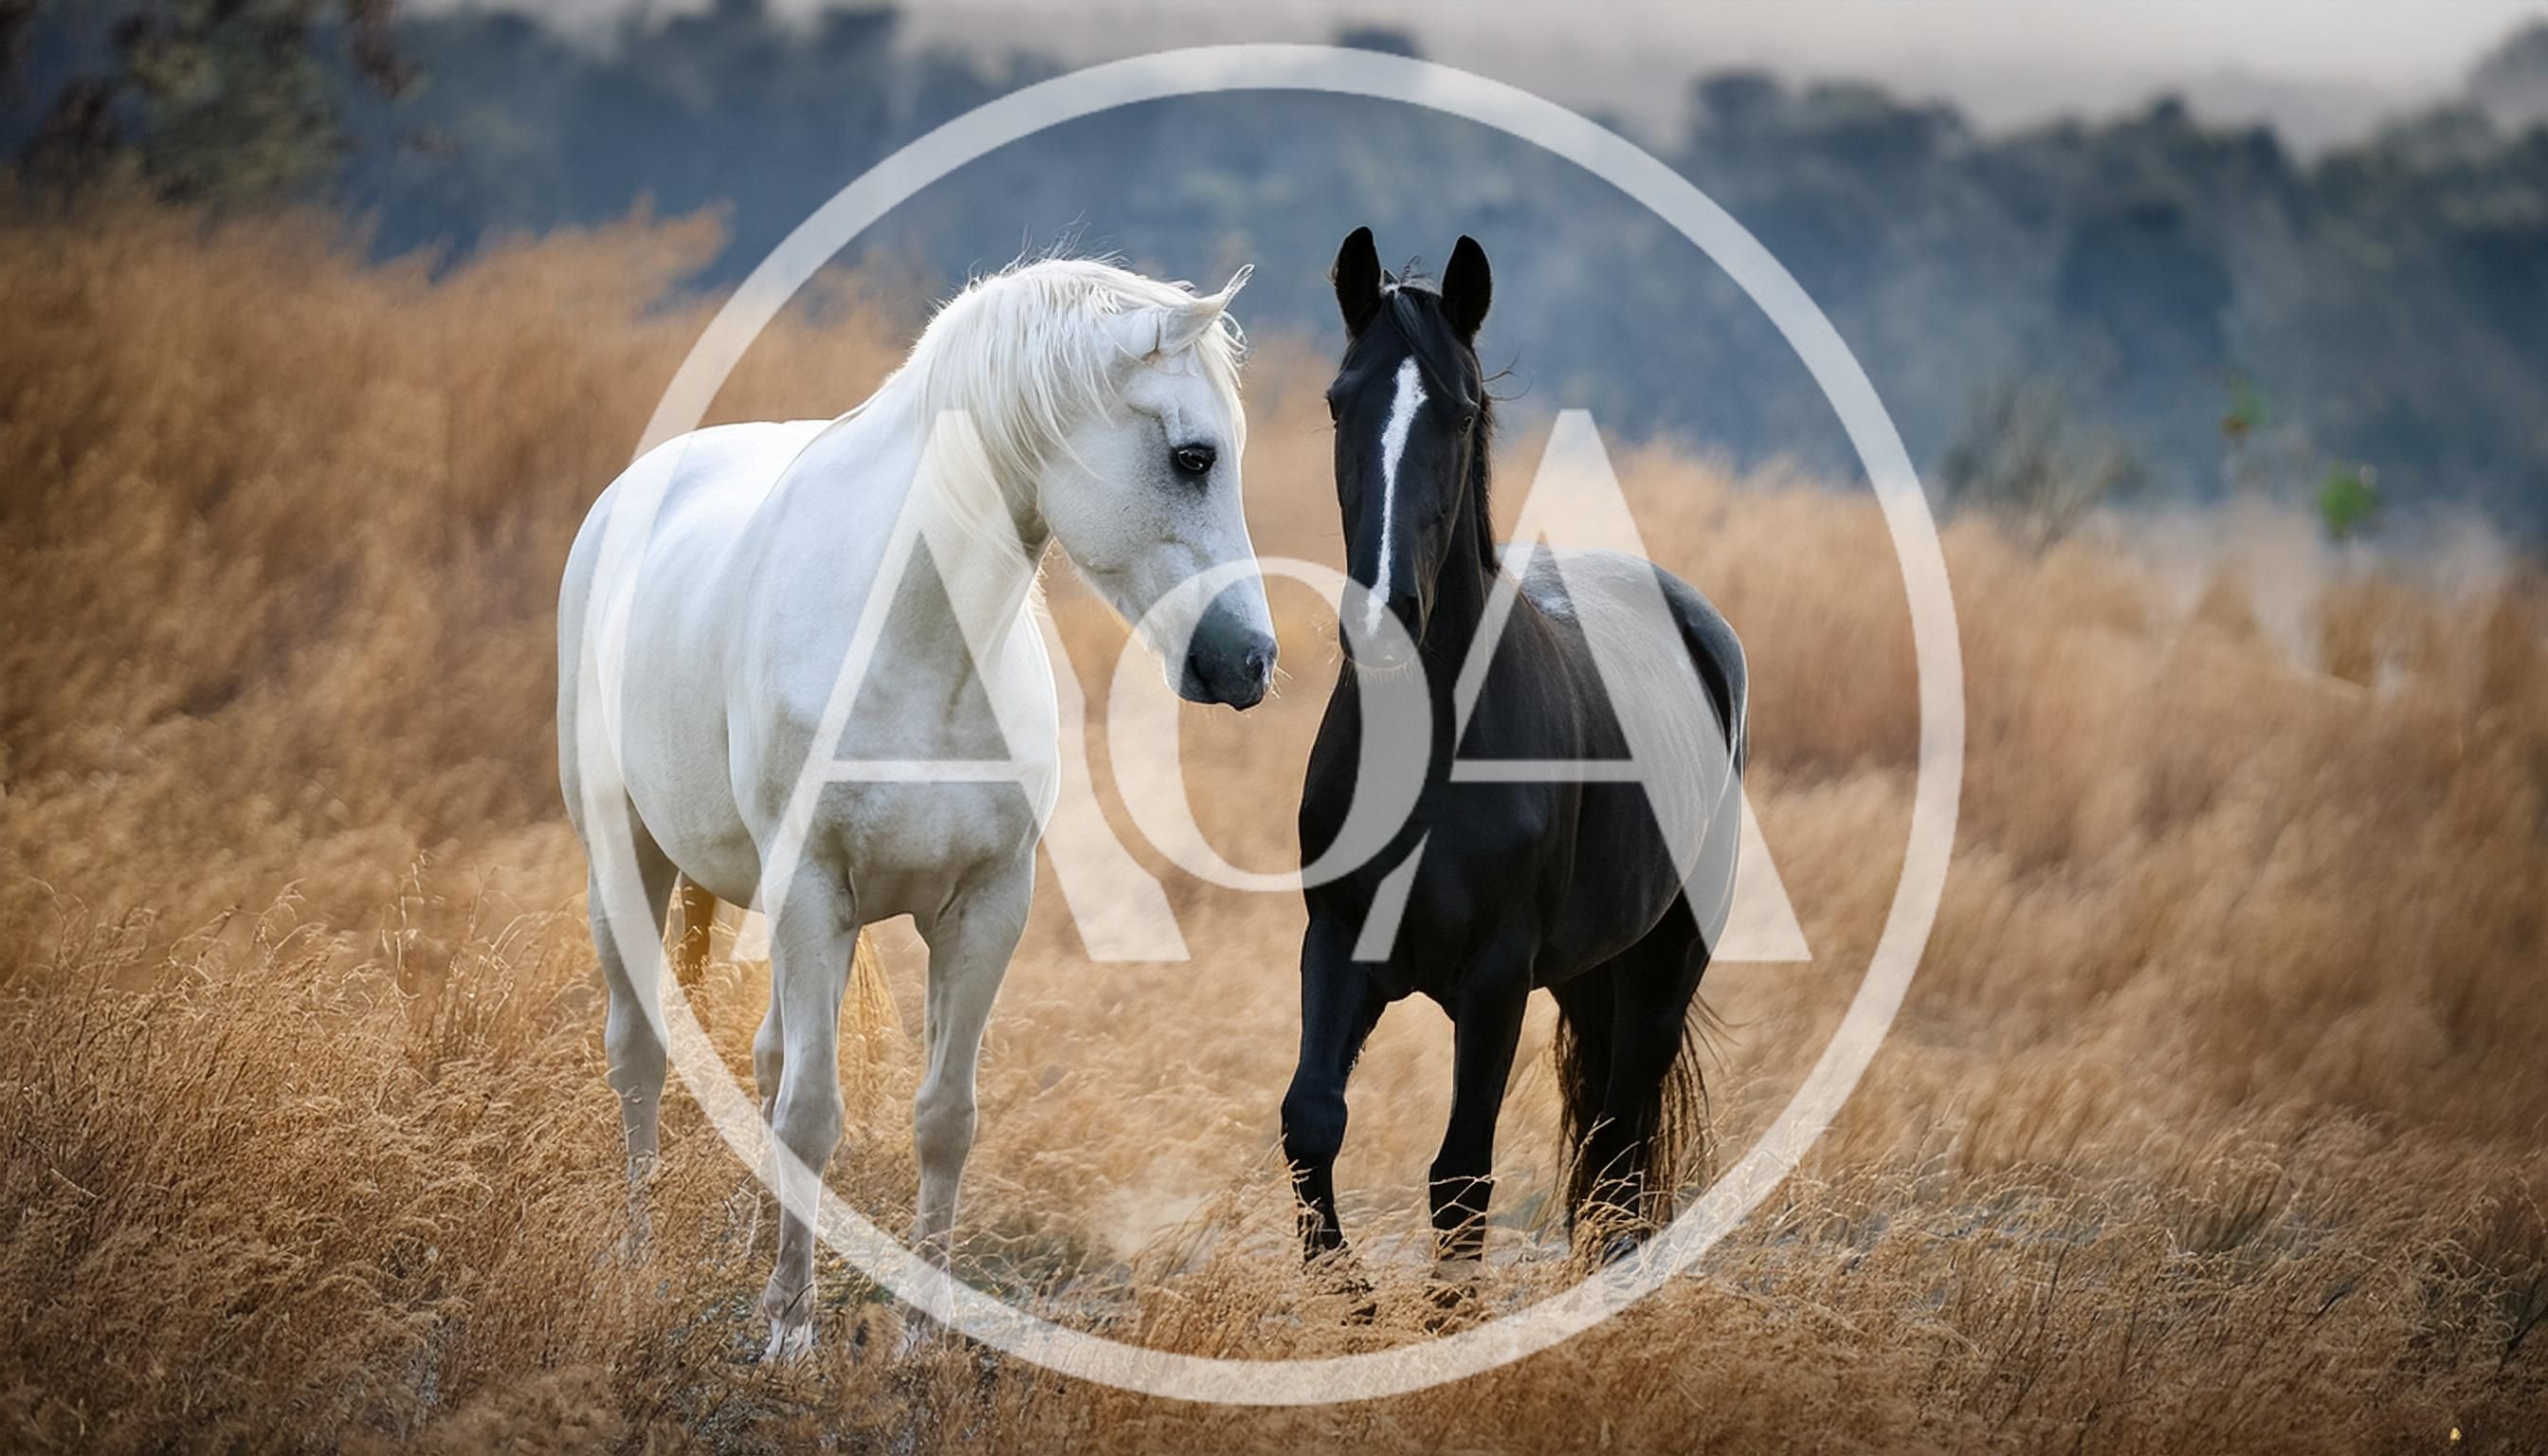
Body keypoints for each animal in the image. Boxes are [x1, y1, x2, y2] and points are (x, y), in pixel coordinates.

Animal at [558, 257, 1273, 1361]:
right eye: (1192, 457)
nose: (1249, 660)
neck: (914, 639)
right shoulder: (813, 892)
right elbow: (814, 1114)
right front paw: (790, 1332)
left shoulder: (985, 907)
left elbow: (943, 1117)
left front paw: (919, 1338)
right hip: (626, 859)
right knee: (641, 1054)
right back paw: (639, 1259)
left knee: (765, 1061)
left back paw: (752, 1246)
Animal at [1282, 229, 1748, 1287]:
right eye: (1338, 401)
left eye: (1458, 411)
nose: (1382, 614)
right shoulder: (1338, 941)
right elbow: (1310, 1122)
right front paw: (1353, 1300)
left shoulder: (1493, 981)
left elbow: (1462, 1179)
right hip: (1589, 975)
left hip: (1662, 971)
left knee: (1621, 1152)